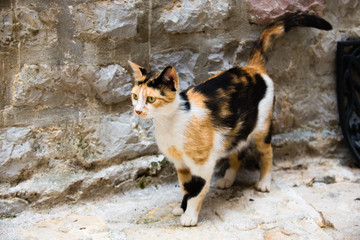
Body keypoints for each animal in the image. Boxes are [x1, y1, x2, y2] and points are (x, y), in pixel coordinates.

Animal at [128, 14, 330, 226]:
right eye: (134, 96)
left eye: (151, 99)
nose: (138, 110)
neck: (170, 122)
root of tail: (252, 67)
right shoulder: (181, 165)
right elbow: (185, 187)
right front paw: (181, 208)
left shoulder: (202, 164)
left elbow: (196, 190)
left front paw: (190, 216)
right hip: (236, 130)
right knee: (237, 153)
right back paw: (227, 180)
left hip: (262, 127)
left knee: (267, 152)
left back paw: (264, 183)